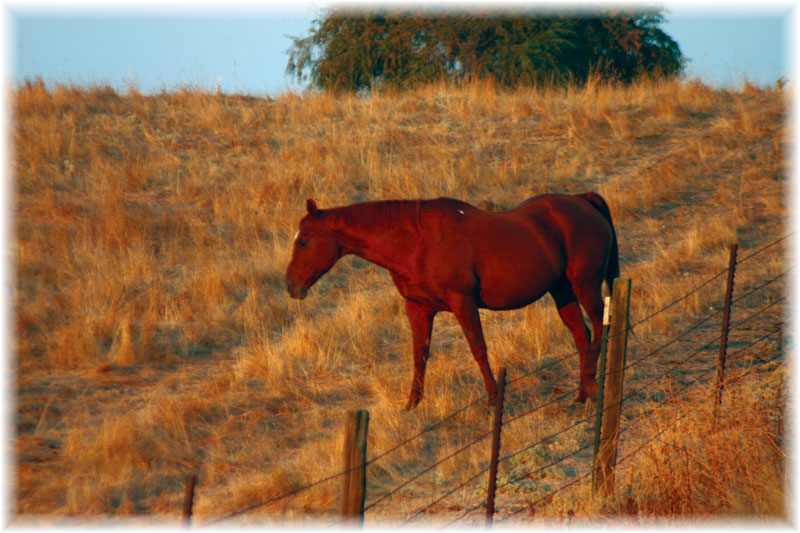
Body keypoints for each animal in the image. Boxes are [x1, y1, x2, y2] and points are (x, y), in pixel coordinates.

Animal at [286, 193, 620, 410]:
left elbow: (478, 348)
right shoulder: (418, 308)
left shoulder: (463, 303)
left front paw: (493, 400)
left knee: (600, 327)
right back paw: (581, 393)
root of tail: (583, 200)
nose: (290, 286)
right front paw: (412, 404)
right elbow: (419, 354)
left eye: (303, 241)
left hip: (585, 285)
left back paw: (594, 385)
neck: (417, 242)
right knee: (581, 335)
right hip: (562, 291)